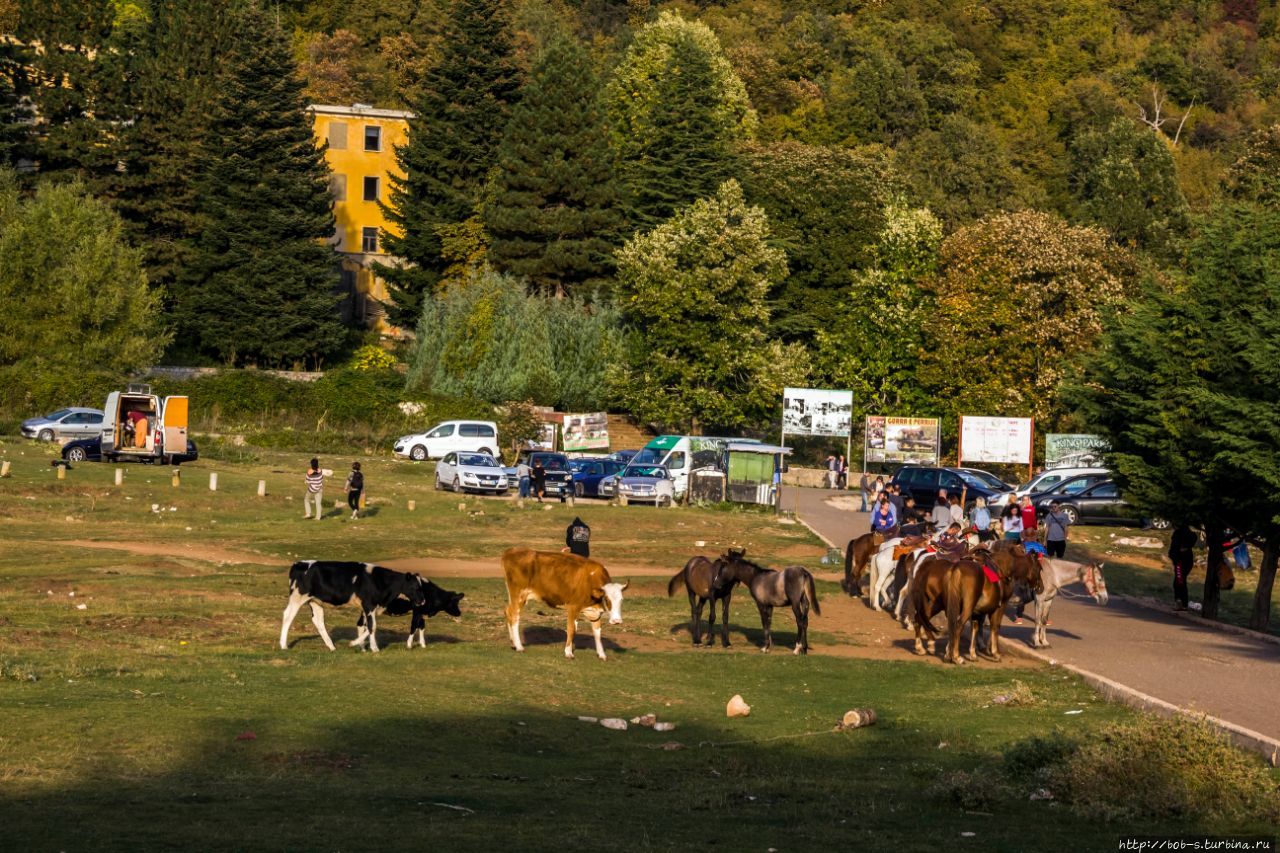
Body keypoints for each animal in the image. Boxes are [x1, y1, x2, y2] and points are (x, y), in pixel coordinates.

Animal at [280, 558, 424, 650]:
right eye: (415, 587)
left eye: (421, 586)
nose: (423, 601)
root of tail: (298, 563)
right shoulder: (369, 605)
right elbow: (372, 626)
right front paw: (374, 648)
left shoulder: (369, 608)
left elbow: (366, 626)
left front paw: (360, 645)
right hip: (297, 597)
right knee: (288, 616)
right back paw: (283, 645)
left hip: (315, 601)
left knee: (318, 620)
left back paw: (331, 646)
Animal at [499, 545, 629, 655]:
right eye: (606, 599)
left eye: (621, 600)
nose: (617, 621)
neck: (590, 582)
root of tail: (511, 551)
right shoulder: (573, 607)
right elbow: (572, 629)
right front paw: (568, 652)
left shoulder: (595, 612)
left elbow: (597, 632)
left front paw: (601, 654)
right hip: (519, 595)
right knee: (514, 616)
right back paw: (519, 646)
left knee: (507, 612)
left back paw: (513, 644)